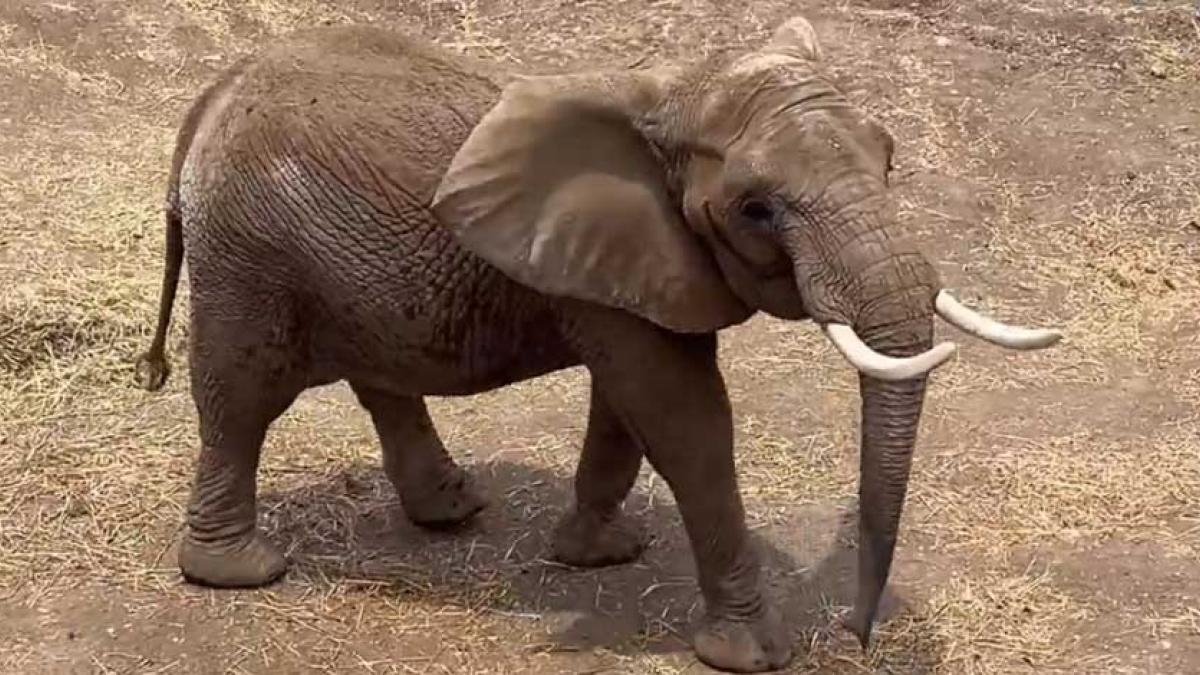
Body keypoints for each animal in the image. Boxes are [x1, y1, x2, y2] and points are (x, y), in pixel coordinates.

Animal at [136, 17, 1065, 672]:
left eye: (890, 157)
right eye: (758, 209)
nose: (858, 634)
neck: (672, 96)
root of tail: (212, 96)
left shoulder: (628, 267)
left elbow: (630, 406)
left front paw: (600, 554)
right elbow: (685, 418)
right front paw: (753, 653)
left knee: (373, 376)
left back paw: (453, 509)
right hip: (251, 254)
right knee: (241, 395)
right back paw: (242, 570)